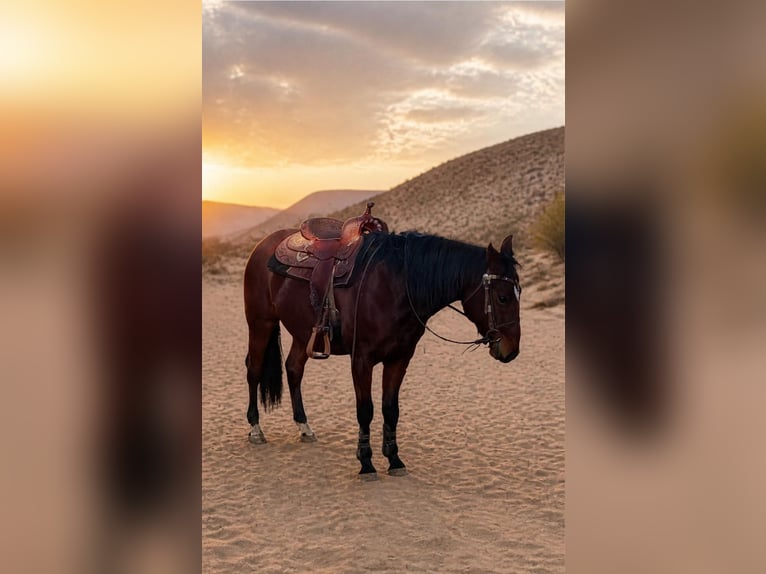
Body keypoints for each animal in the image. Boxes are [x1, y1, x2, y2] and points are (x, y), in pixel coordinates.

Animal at [243, 229, 521, 478]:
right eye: (503, 297)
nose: (511, 350)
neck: (396, 286)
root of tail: (263, 244)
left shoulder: (399, 359)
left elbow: (390, 409)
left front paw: (394, 459)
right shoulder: (361, 360)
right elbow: (365, 409)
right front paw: (366, 463)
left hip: (302, 334)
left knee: (293, 369)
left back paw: (304, 426)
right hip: (261, 324)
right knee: (254, 370)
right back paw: (256, 429)